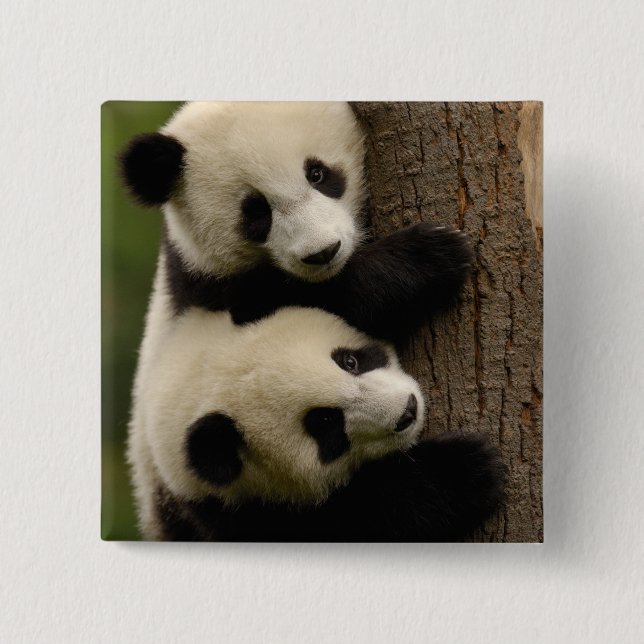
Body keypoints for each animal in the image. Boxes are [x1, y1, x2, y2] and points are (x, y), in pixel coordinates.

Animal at [138, 306, 505, 542]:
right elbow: (356, 516)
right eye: (327, 423)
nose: (408, 412)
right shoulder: (239, 518)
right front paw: (465, 471)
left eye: (349, 361)